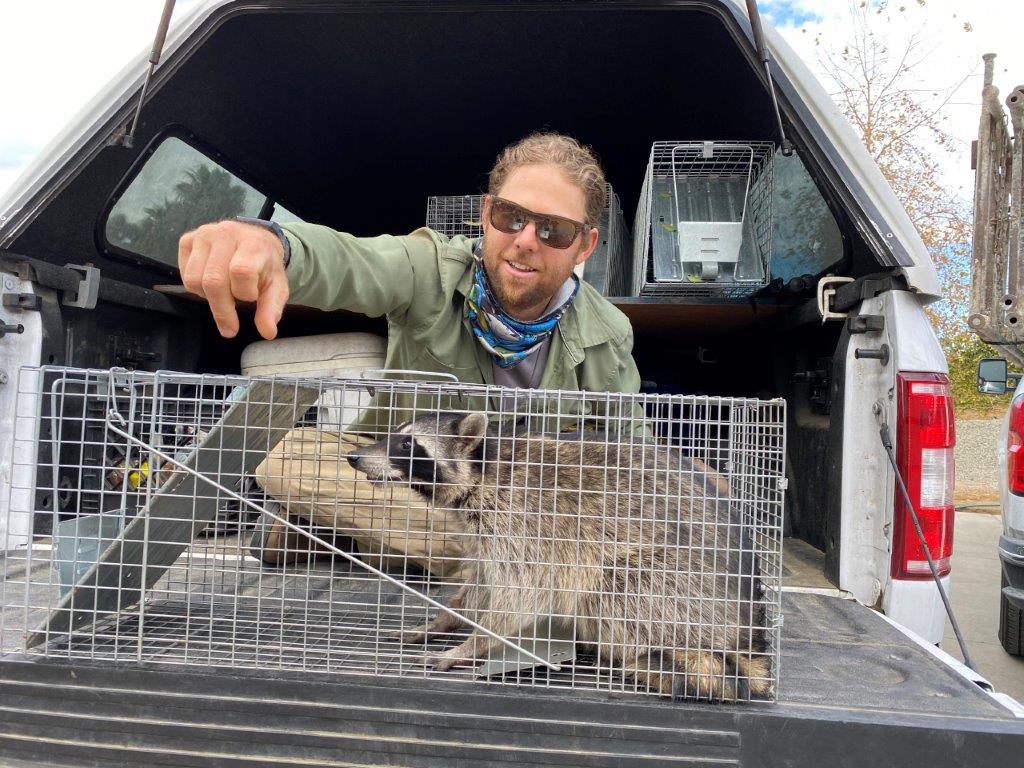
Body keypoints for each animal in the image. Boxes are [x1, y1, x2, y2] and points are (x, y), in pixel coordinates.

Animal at [347, 411, 770, 701]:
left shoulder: (523, 522)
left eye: (407, 445)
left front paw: (473, 644)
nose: (354, 457)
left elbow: (518, 596)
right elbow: (480, 584)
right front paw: (445, 619)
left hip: (679, 584)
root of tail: (745, 631)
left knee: (614, 587)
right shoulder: (484, 535)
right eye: (394, 435)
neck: (484, 467)